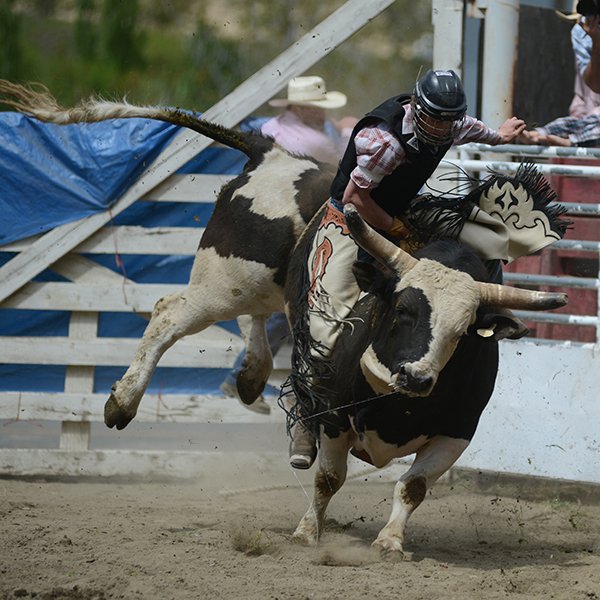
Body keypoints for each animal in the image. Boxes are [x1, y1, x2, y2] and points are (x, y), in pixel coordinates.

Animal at [0, 79, 332, 426]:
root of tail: (271, 156)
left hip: (251, 282)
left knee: (251, 316)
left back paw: (250, 377)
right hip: (226, 284)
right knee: (169, 313)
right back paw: (124, 402)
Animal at [286, 204, 568, 556]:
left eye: (462, 332)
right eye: (403, 310)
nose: (416, 377)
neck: (395, 404)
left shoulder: (456, 435)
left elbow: (413, 487)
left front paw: (390, 540)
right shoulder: (334, 419)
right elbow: (328, 478)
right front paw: (307, 531)